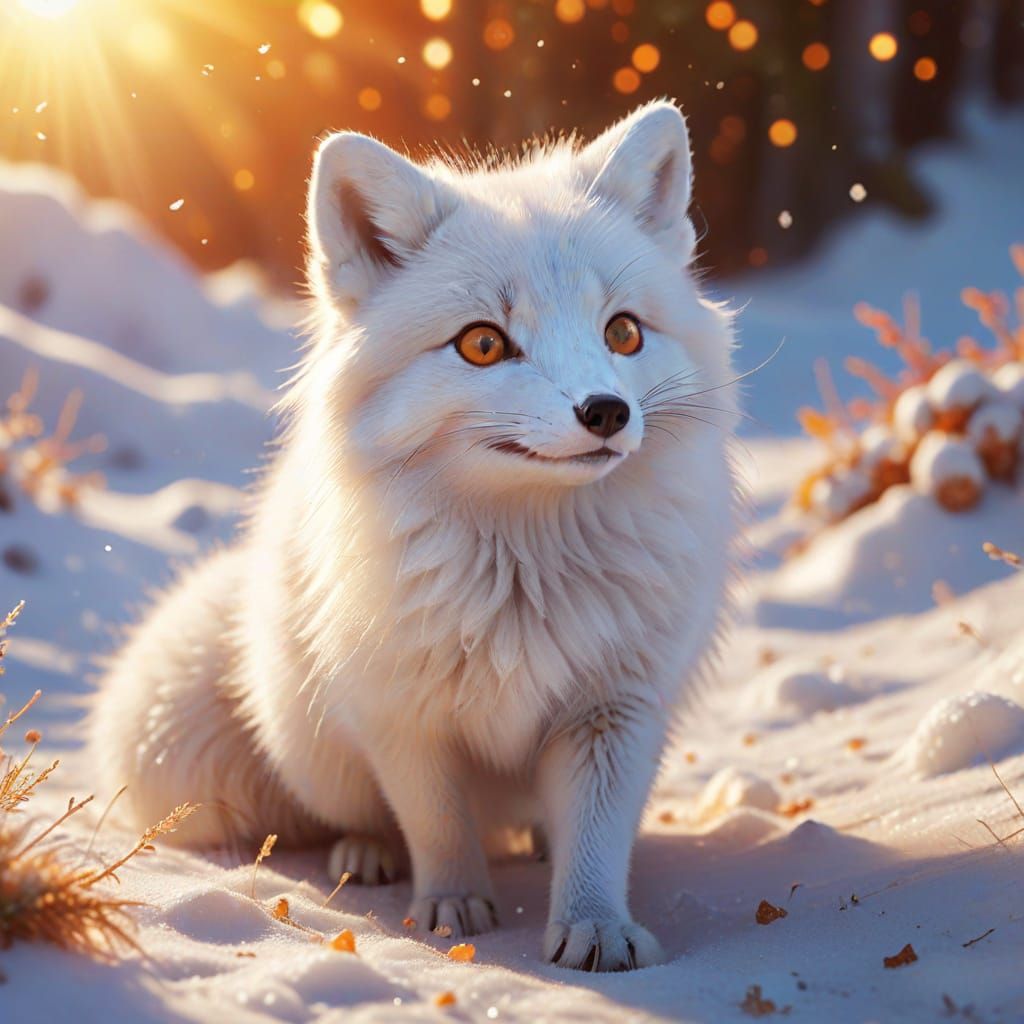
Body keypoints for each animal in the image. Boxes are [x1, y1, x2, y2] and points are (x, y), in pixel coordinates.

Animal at [91, 101, 740, 972]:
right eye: (483, 342)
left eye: (624, 333)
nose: (605, 411)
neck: (525, 573)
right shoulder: (402, 717)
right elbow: (436, 823)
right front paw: (451, 911)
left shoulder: (615, 710)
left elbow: (597, 843)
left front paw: (595, 927)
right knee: (357, 815)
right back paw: (368, 854)